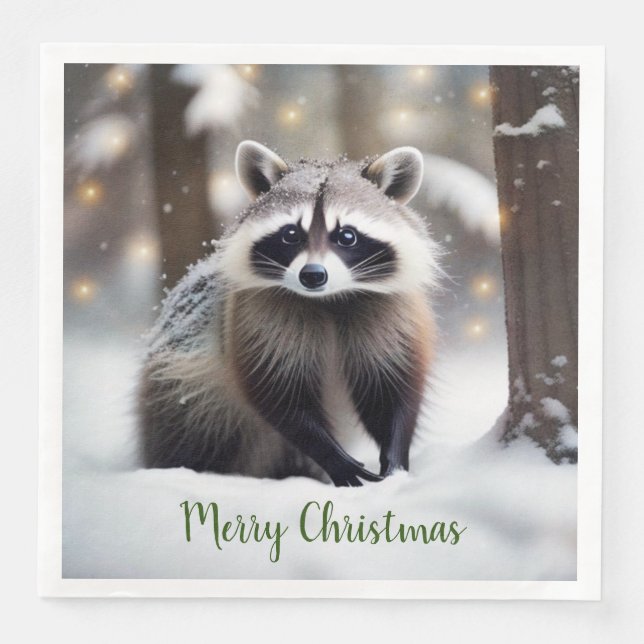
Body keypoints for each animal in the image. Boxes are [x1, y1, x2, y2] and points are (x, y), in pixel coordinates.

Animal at [138, 141, 441, 487]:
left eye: (347, 236)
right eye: (291, 234)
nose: (313, 275)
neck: (328, 300)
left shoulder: (390, 310)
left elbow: (390, 389)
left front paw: (395, 456)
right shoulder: (255, 314)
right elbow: (279, 395)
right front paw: (332, 455)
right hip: (184, 400)